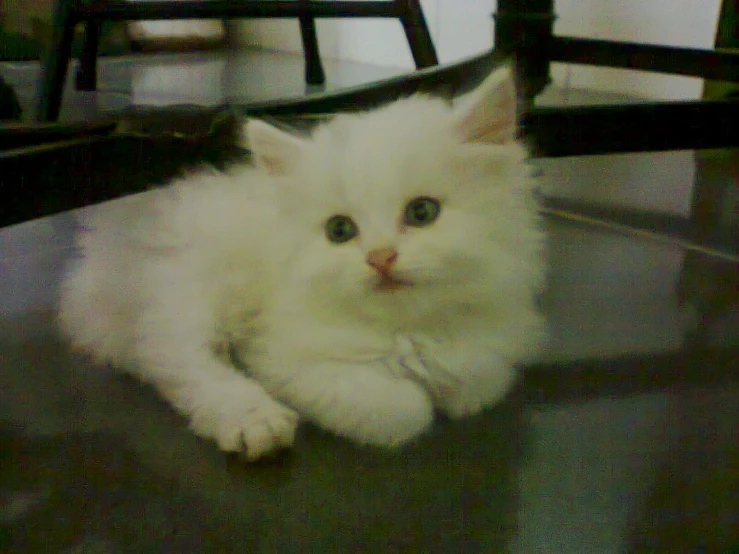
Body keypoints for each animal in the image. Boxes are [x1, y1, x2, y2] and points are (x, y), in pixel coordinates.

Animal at [57, 64, 548, 458]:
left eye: (422, 212)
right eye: (340, 231)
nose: (381, 257)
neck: (406, 329)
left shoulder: (494, 346)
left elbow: (477, 383)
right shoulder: (282, 357)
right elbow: (401, 410)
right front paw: (421, 405)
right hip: (188, 285)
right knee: (175, 359)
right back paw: (254, 420)